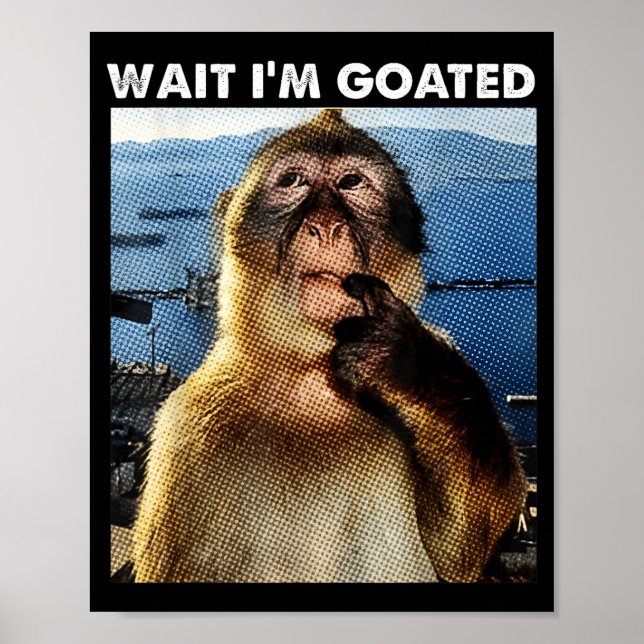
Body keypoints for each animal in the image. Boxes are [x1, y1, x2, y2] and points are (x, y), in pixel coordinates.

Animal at [128, 108, 527, 583]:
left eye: (352, 182)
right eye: (293, 180)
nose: (327, 225)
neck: (310, 376)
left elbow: (457, 554)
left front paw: (405, 361)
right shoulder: (188, 431)